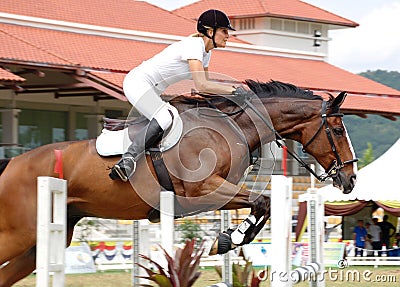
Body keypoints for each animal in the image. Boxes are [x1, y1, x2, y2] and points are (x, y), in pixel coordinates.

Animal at [0, 80, 356, 286]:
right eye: (338, 130)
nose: (350, 179)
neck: (229, 128)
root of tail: (12, 164)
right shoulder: (201, 189)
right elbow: (261, 202)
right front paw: (229, 239)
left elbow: (261, 205)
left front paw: (227, 238)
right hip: (21, 233)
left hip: (41, 240)